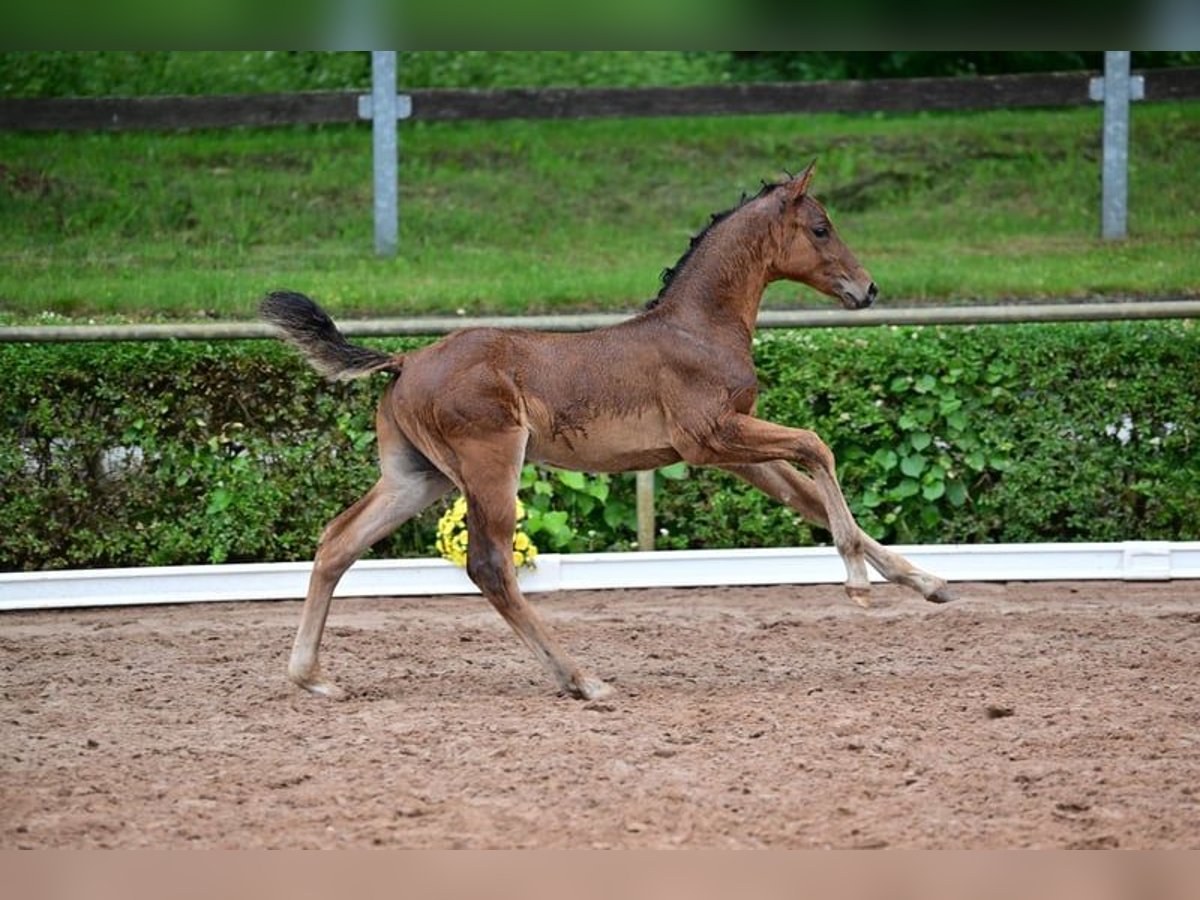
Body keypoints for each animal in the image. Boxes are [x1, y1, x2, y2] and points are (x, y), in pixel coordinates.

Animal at [262, 168, 955, 705]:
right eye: (820, 228)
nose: (867, 288)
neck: (698, 327)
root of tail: (405, 361)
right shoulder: (711, 437)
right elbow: (817, 445)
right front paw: (858, 586)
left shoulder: (733, 452)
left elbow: (809, 495)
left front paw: (929, 583)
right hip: (490, 465)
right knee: (489, 564)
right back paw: (582, 679)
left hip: (416, 477)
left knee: (338, 541)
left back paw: (312, 677)